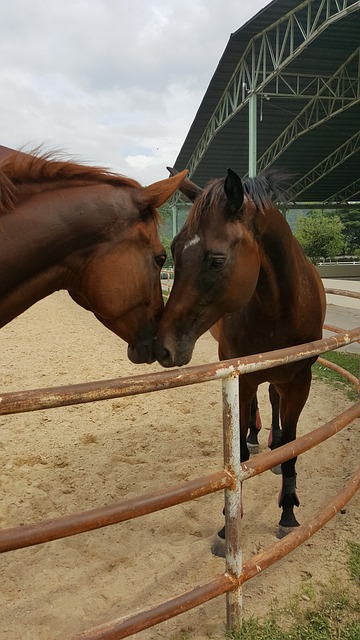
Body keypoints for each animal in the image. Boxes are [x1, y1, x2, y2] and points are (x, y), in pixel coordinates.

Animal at [157, 168, 326, 548]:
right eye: (173, 250)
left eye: (216, 259)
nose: (163, 345)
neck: (281, 308)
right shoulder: (241, 375)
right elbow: (238, 452)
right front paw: (228, 523)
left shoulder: (300, 382)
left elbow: (292, 447)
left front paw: (288, 512)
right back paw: (254, 434)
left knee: (275, 402)